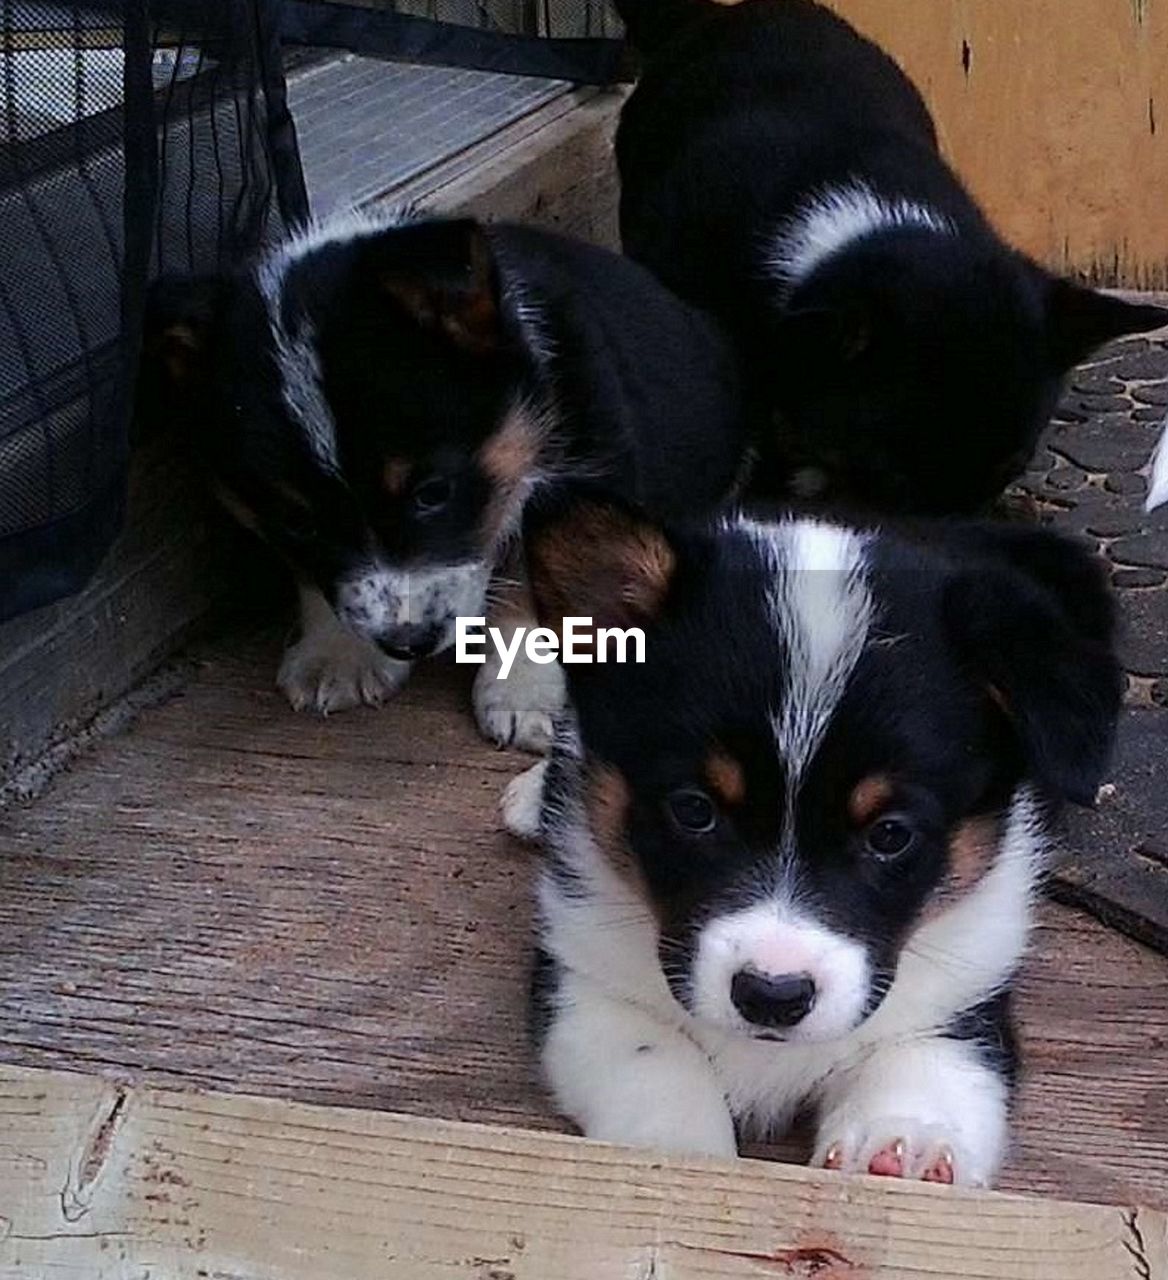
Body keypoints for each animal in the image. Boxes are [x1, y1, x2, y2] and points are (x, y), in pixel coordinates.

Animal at [146, 209, 747, 747]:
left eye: (432, 493)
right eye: (299, 523)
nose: (407, 642)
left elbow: (534, 579)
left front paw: (526, 694)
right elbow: (313, 574)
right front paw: (339, 654)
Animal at [509, 483, 1121, 1182]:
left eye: (890, 834)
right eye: (694, 809)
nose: (772, 996)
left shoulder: (966, 998)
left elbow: (920, 1070)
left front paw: (902, 1149)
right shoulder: (584, 979)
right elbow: (657, 1066)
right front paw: (683, 1154)